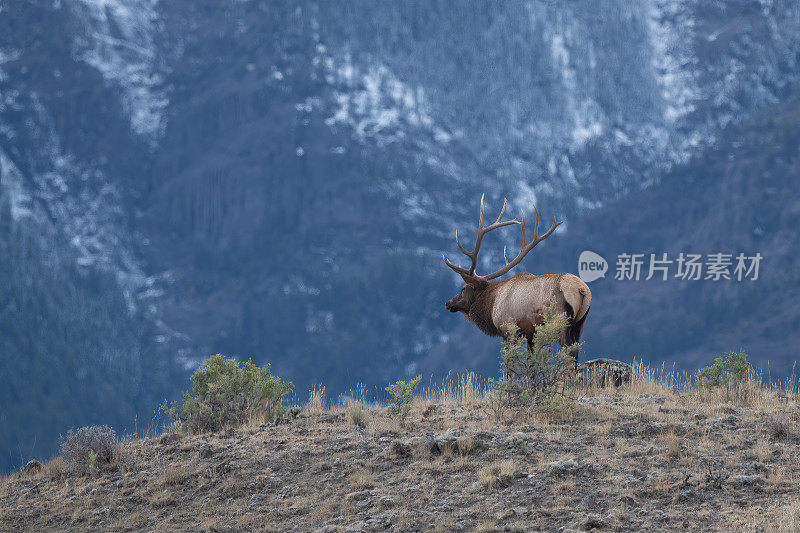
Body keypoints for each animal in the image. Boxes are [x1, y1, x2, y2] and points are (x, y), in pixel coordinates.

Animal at [444, 193, 588, 364]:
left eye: (463, 289)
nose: (448, 303)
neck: (491, 305)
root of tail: (581, 289)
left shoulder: (508, 329)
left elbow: (510, 364)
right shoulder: (531, 333)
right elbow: (532, 361)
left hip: (560, 319)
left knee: (569, 350)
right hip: (580, 323)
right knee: (576, 350)